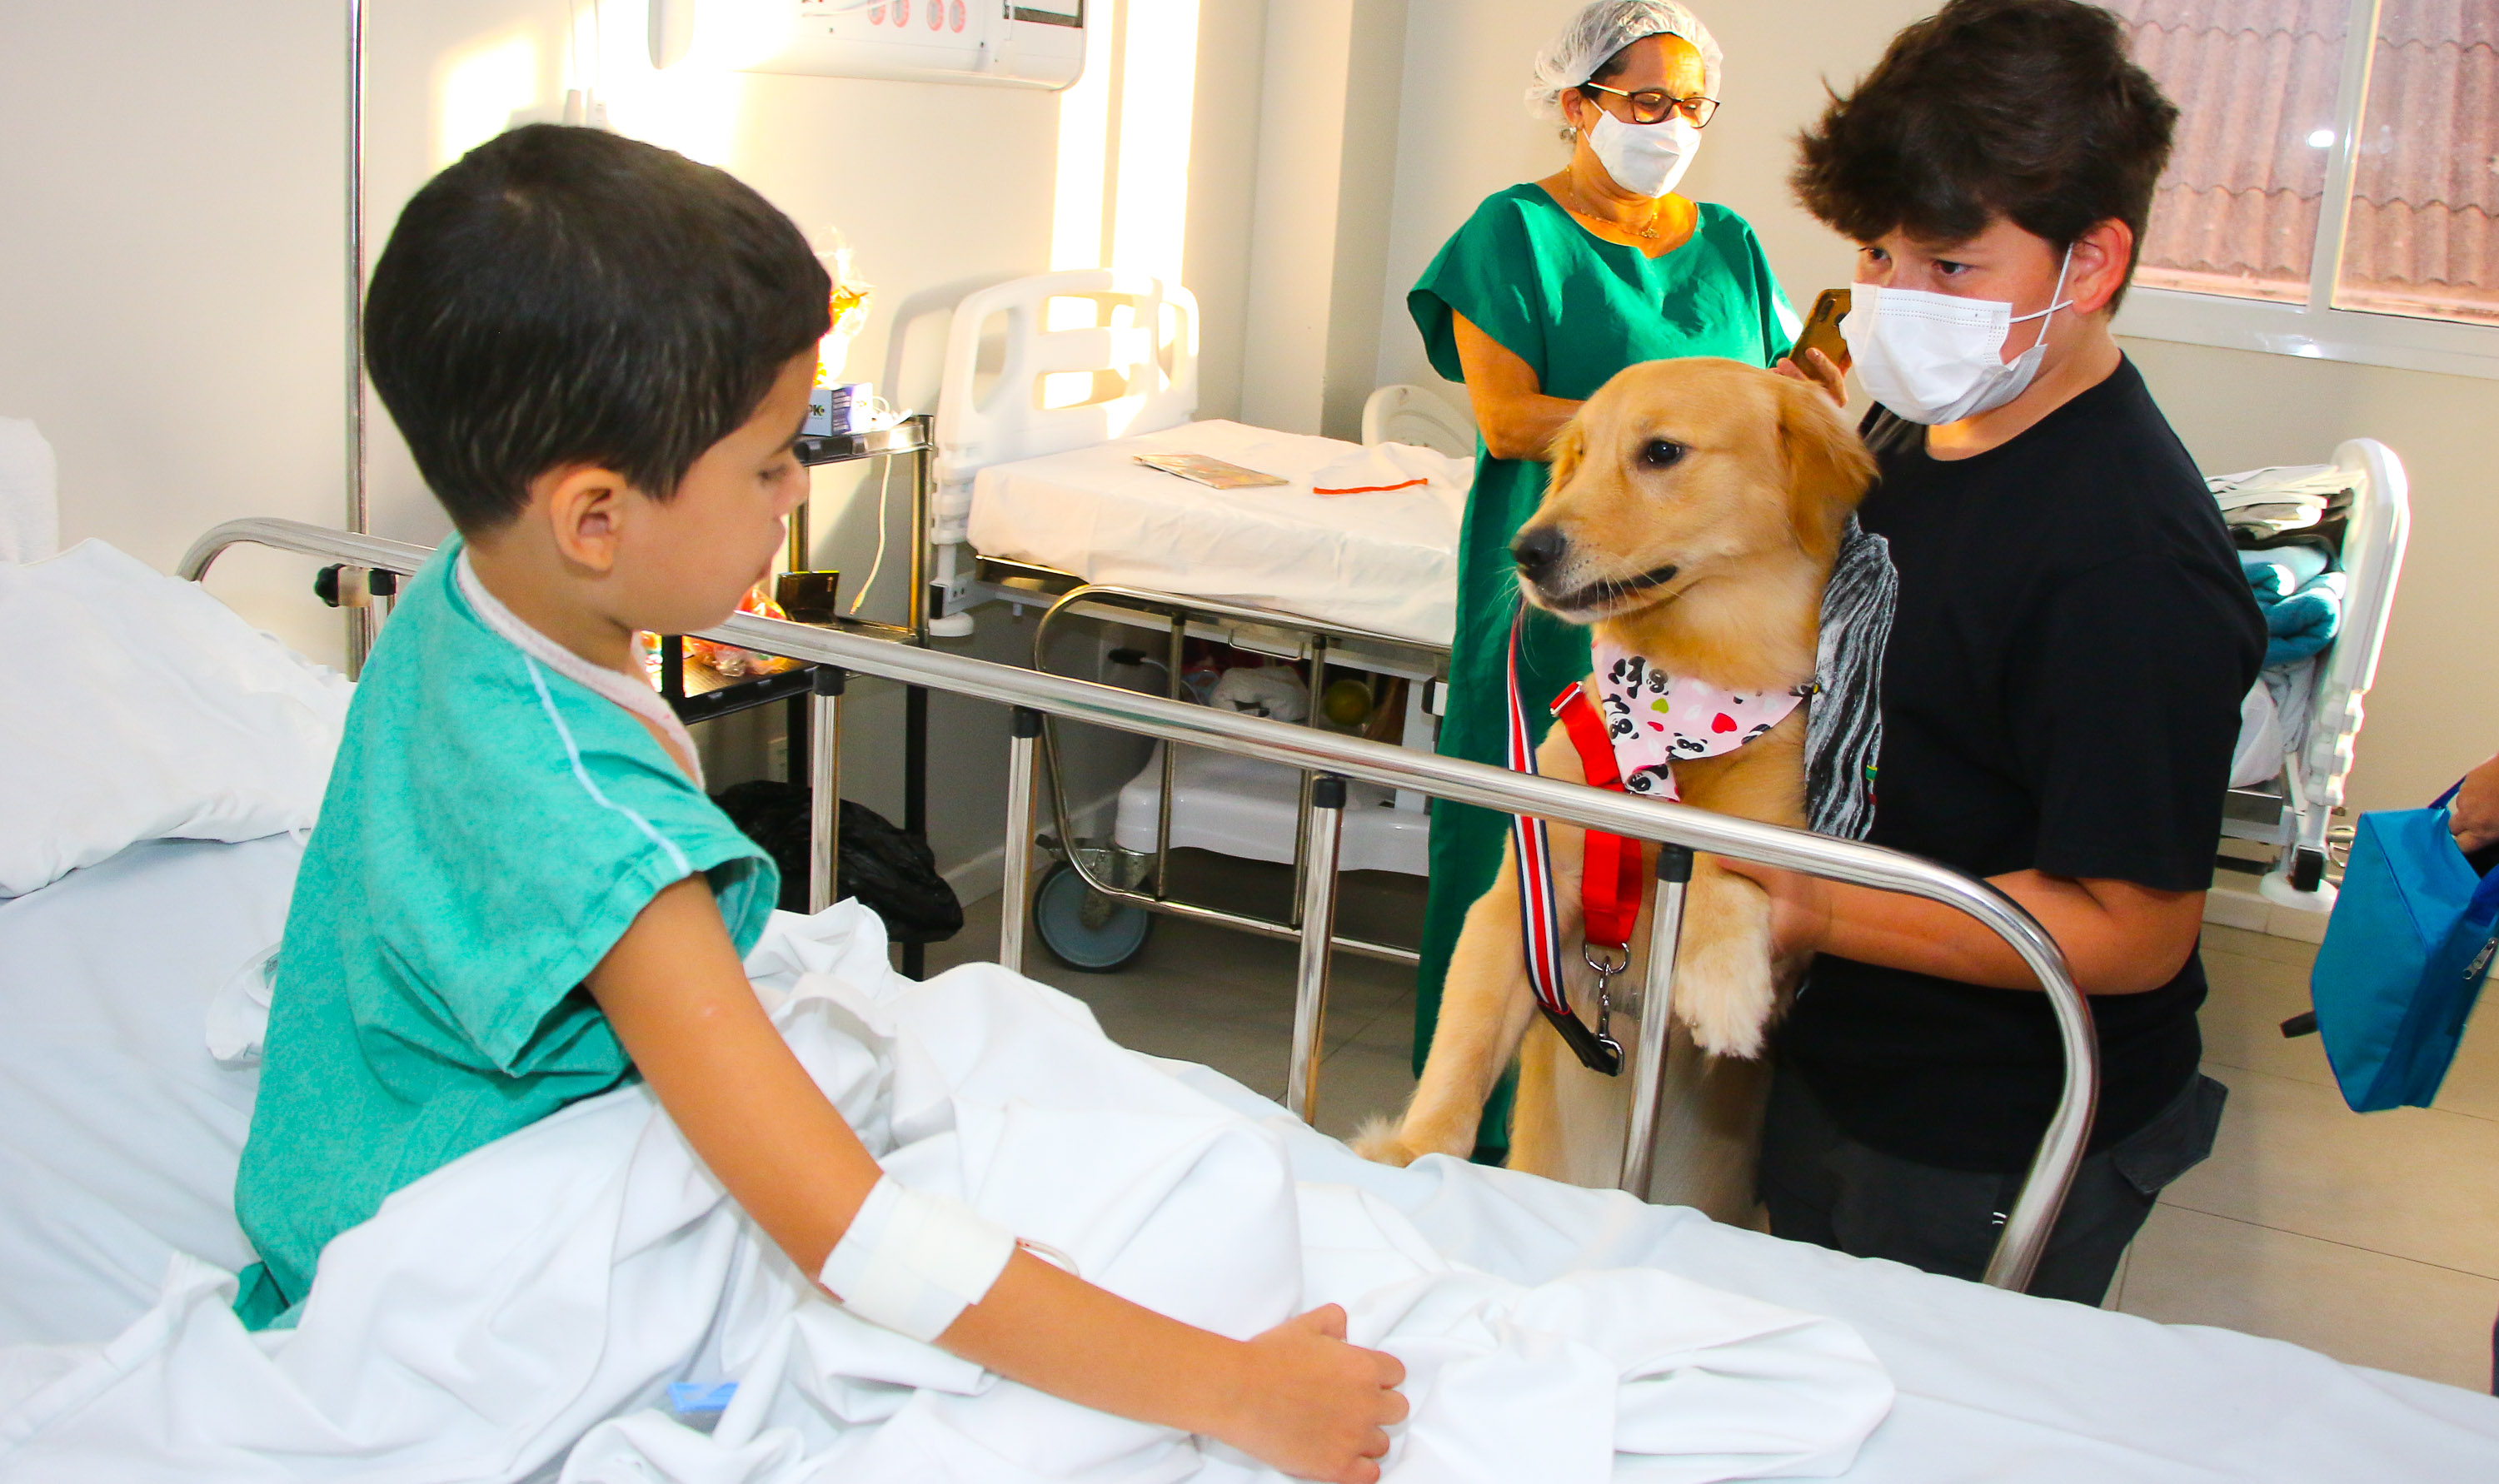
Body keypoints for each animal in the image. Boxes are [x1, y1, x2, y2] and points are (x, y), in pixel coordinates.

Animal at [1359, 357, 1869, 1214]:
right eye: (1577, 456)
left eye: (1660, 452)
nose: (1526, 550)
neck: (1687, 701)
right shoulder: (1523, 903)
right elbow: (1463, 1047)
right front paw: (1411, 1153)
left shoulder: (1795, 915)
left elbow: (1717, 863)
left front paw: (1722, 981)